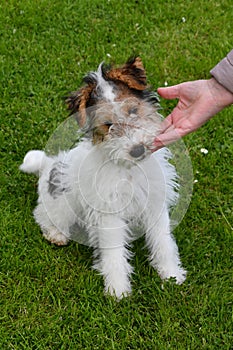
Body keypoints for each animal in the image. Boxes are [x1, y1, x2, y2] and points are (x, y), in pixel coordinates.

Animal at [20, 57, 187, 298]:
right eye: (108, 125)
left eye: (133, 110)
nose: (137, 150)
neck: (129, 169)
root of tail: (48, 164)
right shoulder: (109, 214)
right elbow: (114, 254)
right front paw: (118, 290)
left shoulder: (154, 203)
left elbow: (163, 242)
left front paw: (171, 275)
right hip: (60, 204)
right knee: (42, 214)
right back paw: (56, 234)